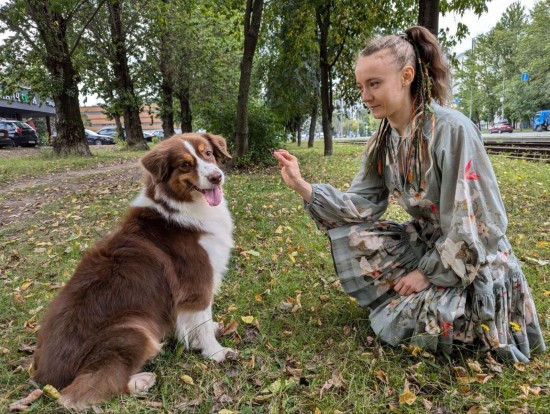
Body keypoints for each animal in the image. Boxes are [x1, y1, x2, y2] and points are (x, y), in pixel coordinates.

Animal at [32, 133, 235, 410]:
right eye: (184, 165)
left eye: (208, 154)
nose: (217, 177)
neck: (177, 208)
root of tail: (47, 379)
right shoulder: (196, 285)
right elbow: (201, 321)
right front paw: (215, 352)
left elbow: (195, 323)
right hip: (134, 328)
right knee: (78, 394)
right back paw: (140, 382)